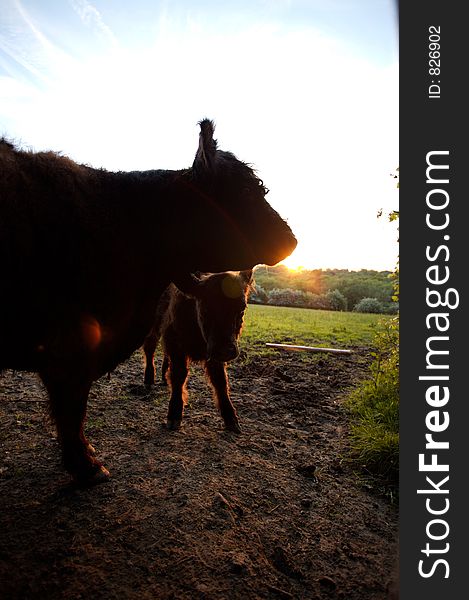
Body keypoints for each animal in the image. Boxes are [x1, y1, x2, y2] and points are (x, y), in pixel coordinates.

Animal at [143, 270, 252, 432]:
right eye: (205, 308)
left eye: (241, 308)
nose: (226, 350)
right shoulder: (175, 341)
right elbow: (179, 375)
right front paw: (174, 415)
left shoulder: (213, 353)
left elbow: (220, 381)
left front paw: (231, 418)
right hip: (155, 324)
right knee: (150, 347)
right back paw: (148, 380)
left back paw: (163, 377)